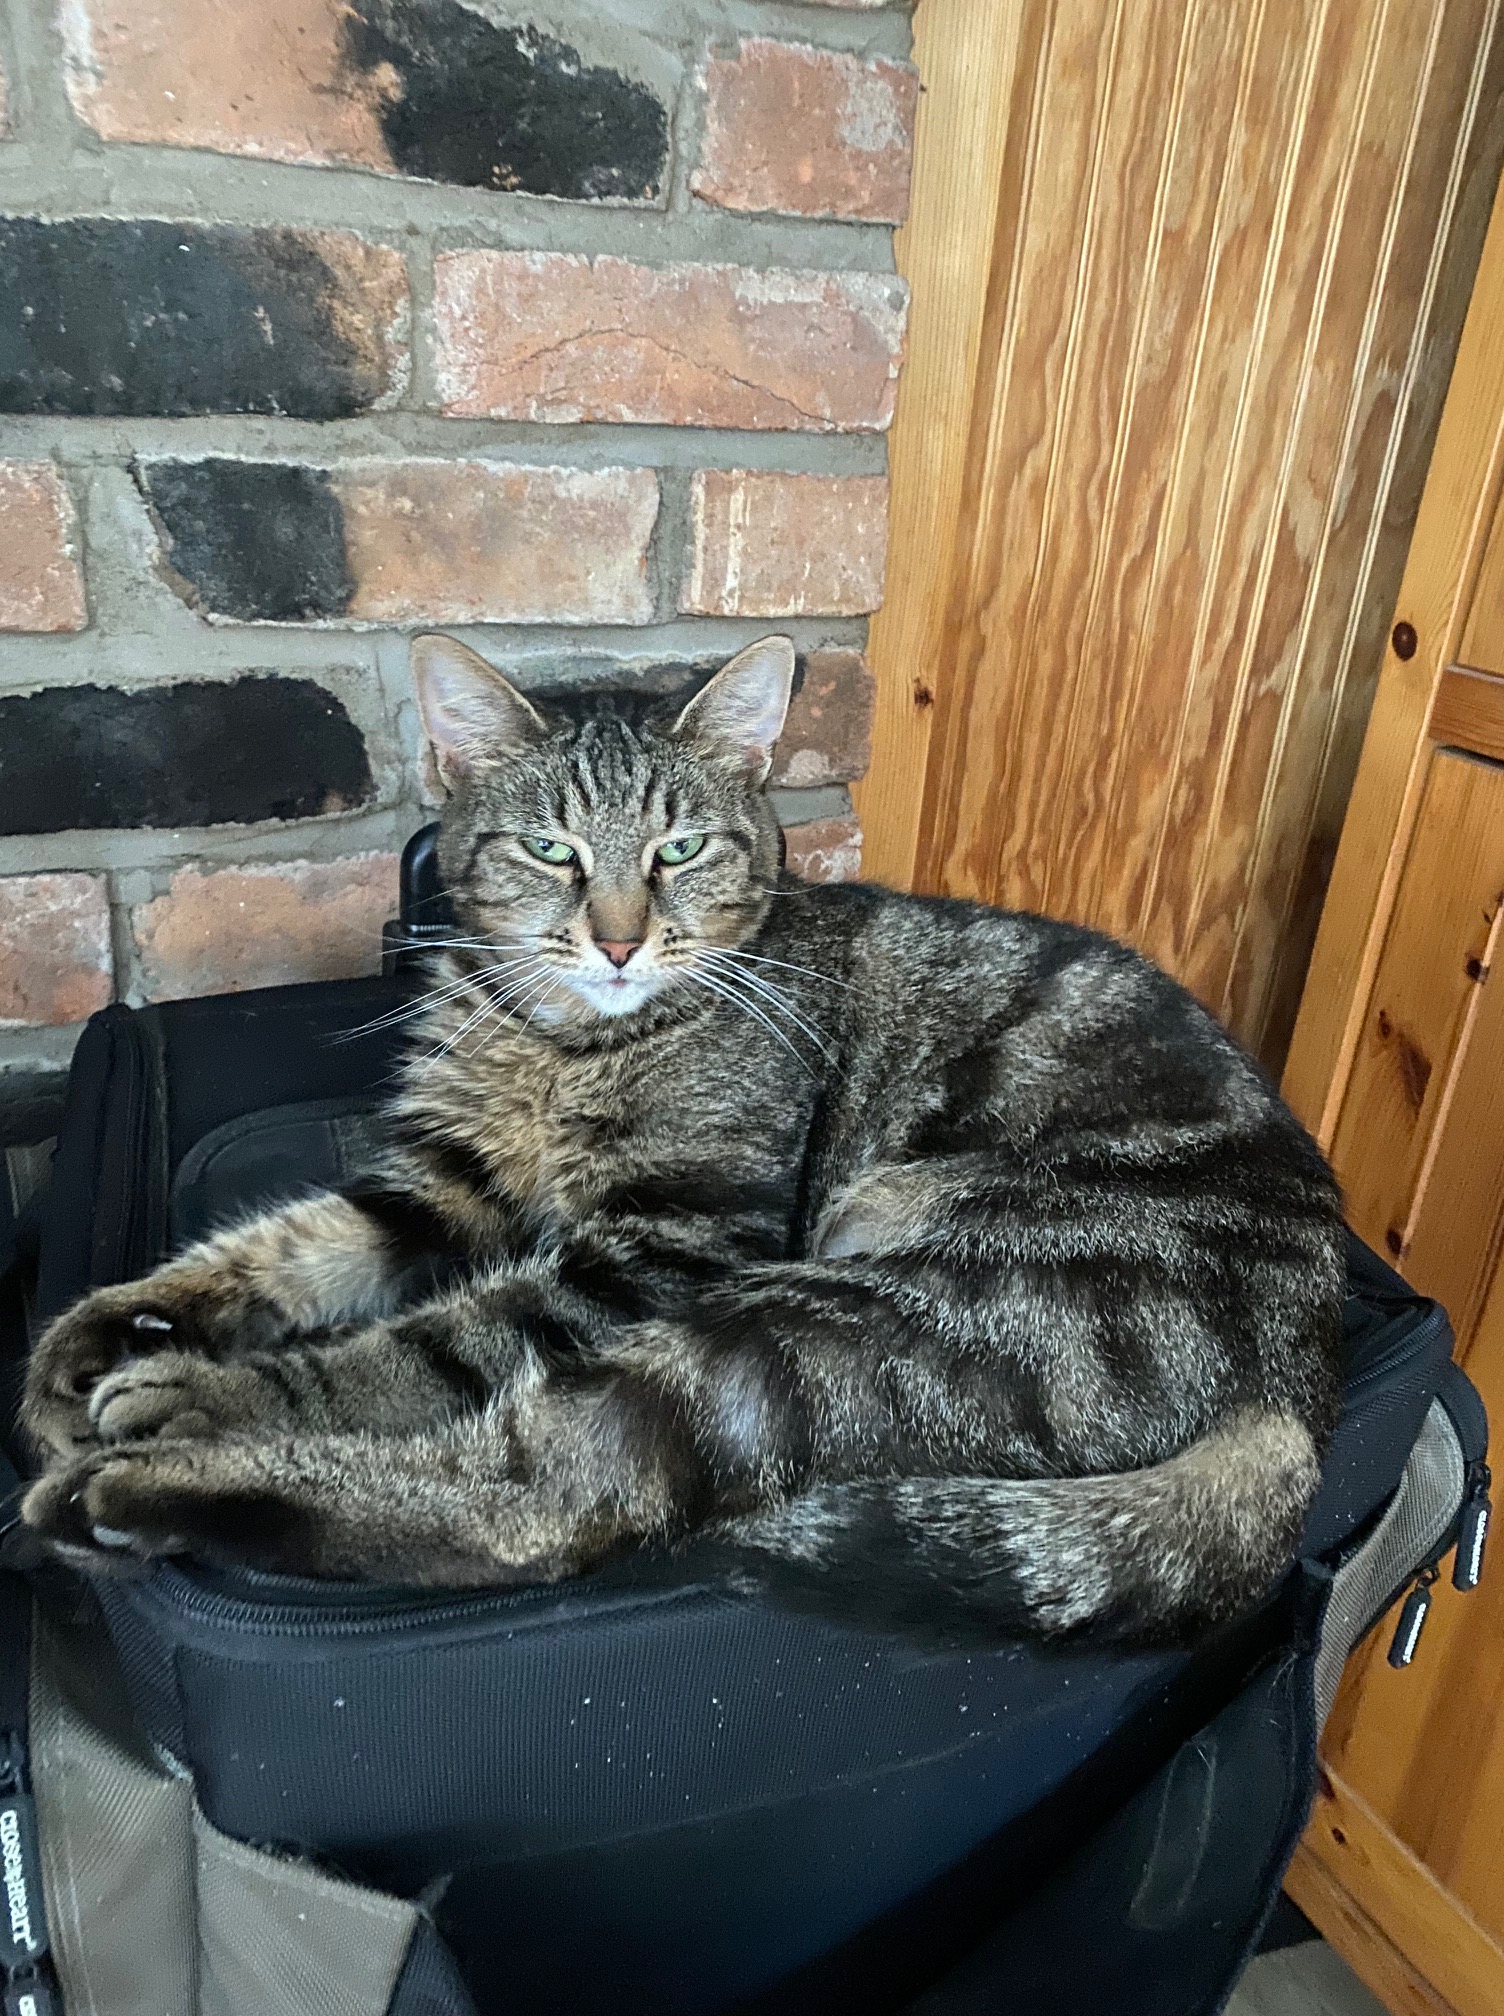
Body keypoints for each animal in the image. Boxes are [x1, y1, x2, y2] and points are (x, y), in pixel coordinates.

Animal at [21, 633, 1346, 1645]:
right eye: (549, 849)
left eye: (681, 849)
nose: (616, 940)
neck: (561, 1039)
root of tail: (1302, 1386)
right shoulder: (444, 1182)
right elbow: (287, 1247)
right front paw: (107, 1326)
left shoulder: (663, 1244)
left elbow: (412, 1352)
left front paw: (207, 1386)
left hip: (834, 1319)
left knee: (552, 1494)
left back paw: (143, 1482)